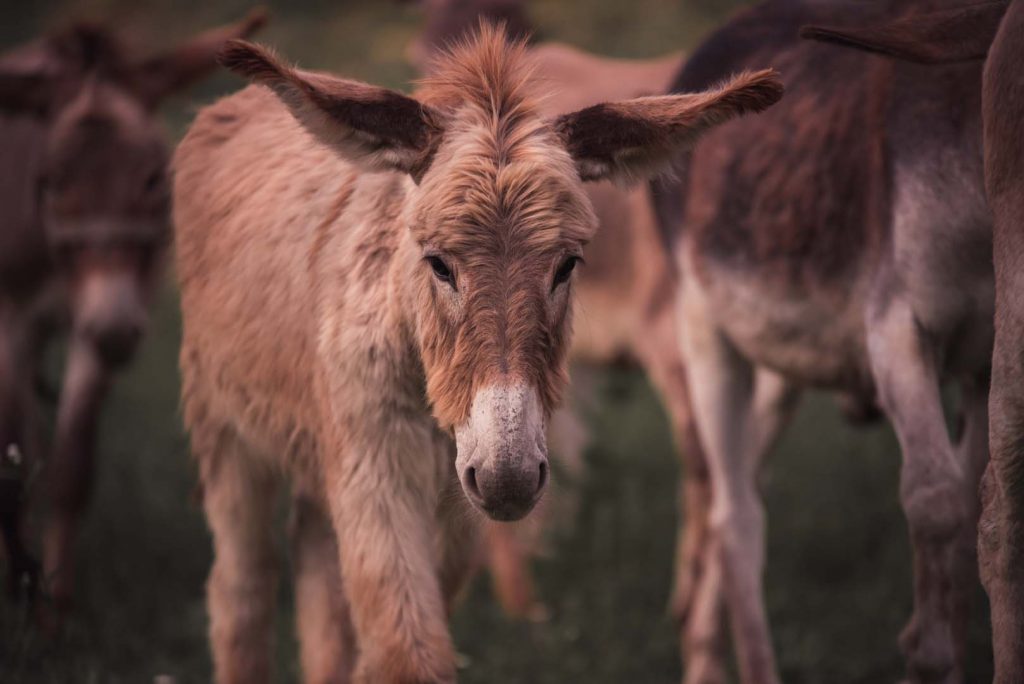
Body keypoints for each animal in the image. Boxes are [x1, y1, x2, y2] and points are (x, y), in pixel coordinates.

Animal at [174, 24, 782, 679]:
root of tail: (238, 104)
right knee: (242, 588)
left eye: (568, 264)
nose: (507, 480)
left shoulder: (450, 512)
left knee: (317, 582)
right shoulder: (376, 467)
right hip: (228, 432)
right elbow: (406, 653)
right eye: (438, 263)